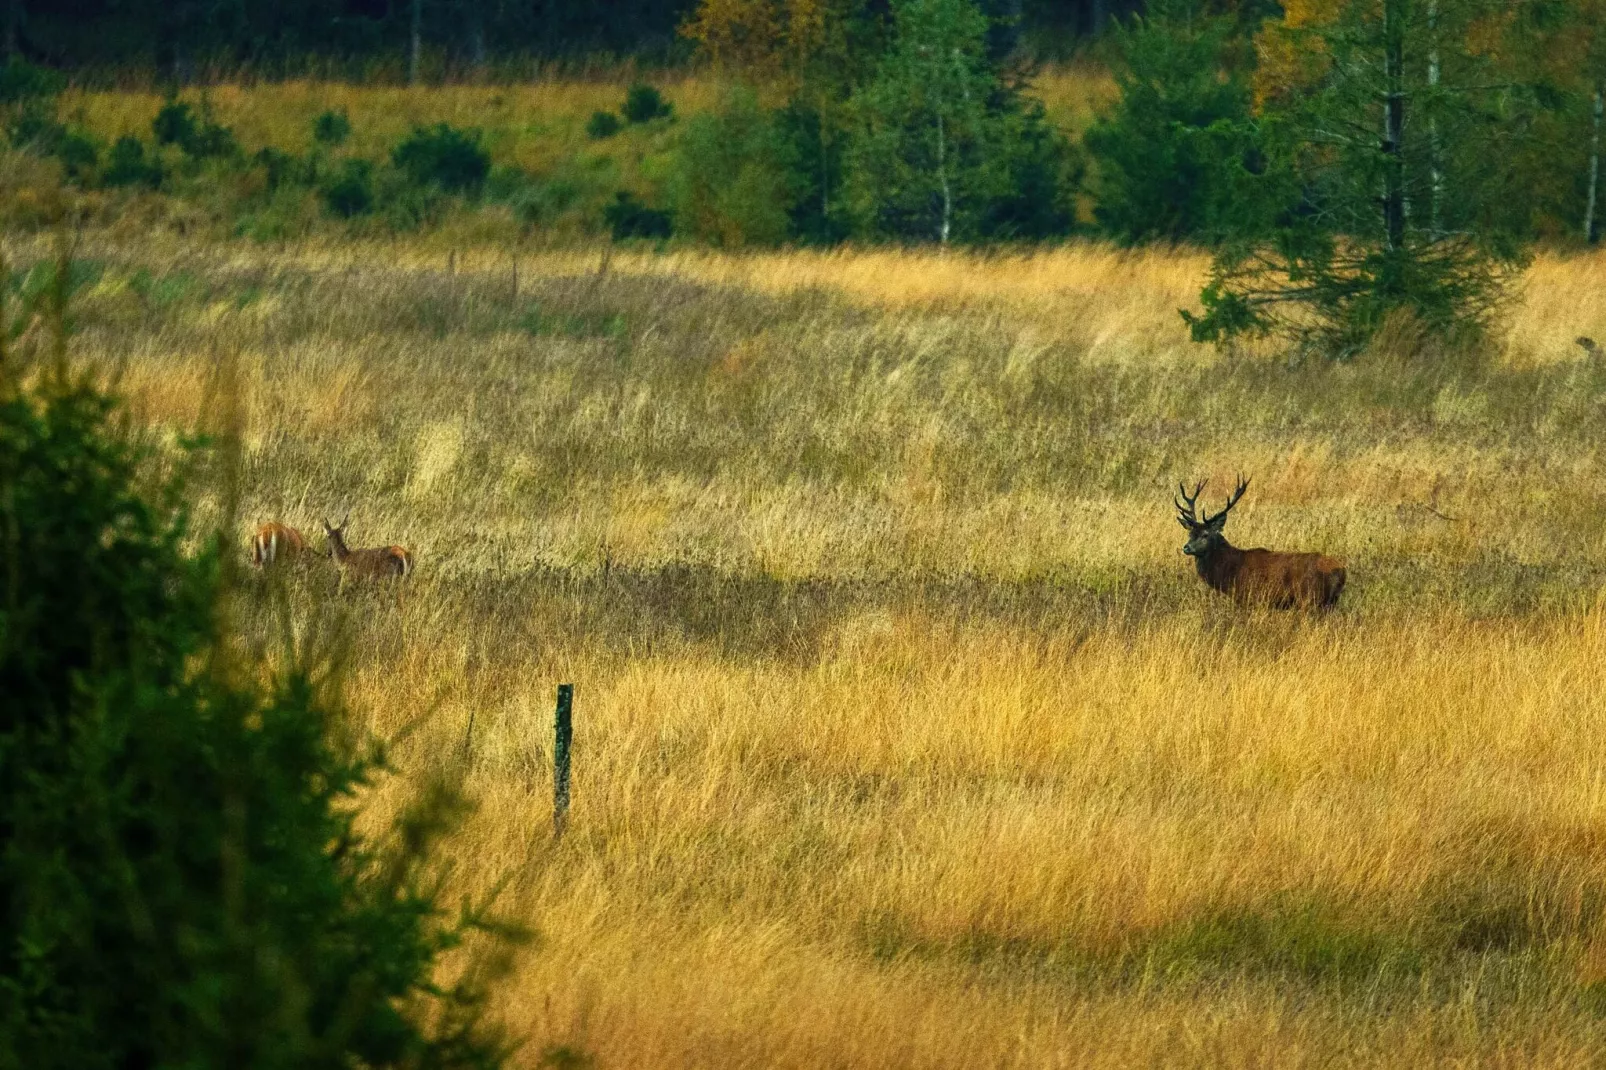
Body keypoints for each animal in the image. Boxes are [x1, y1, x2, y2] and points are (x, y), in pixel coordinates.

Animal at [1175, 475, 1349, 607]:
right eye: (1190, 533)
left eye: (1205, 534)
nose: (1186, 547)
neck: (1230, 570)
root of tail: (1341, 571)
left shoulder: (1249, 597)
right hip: (1330, 602)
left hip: (1310, 598)